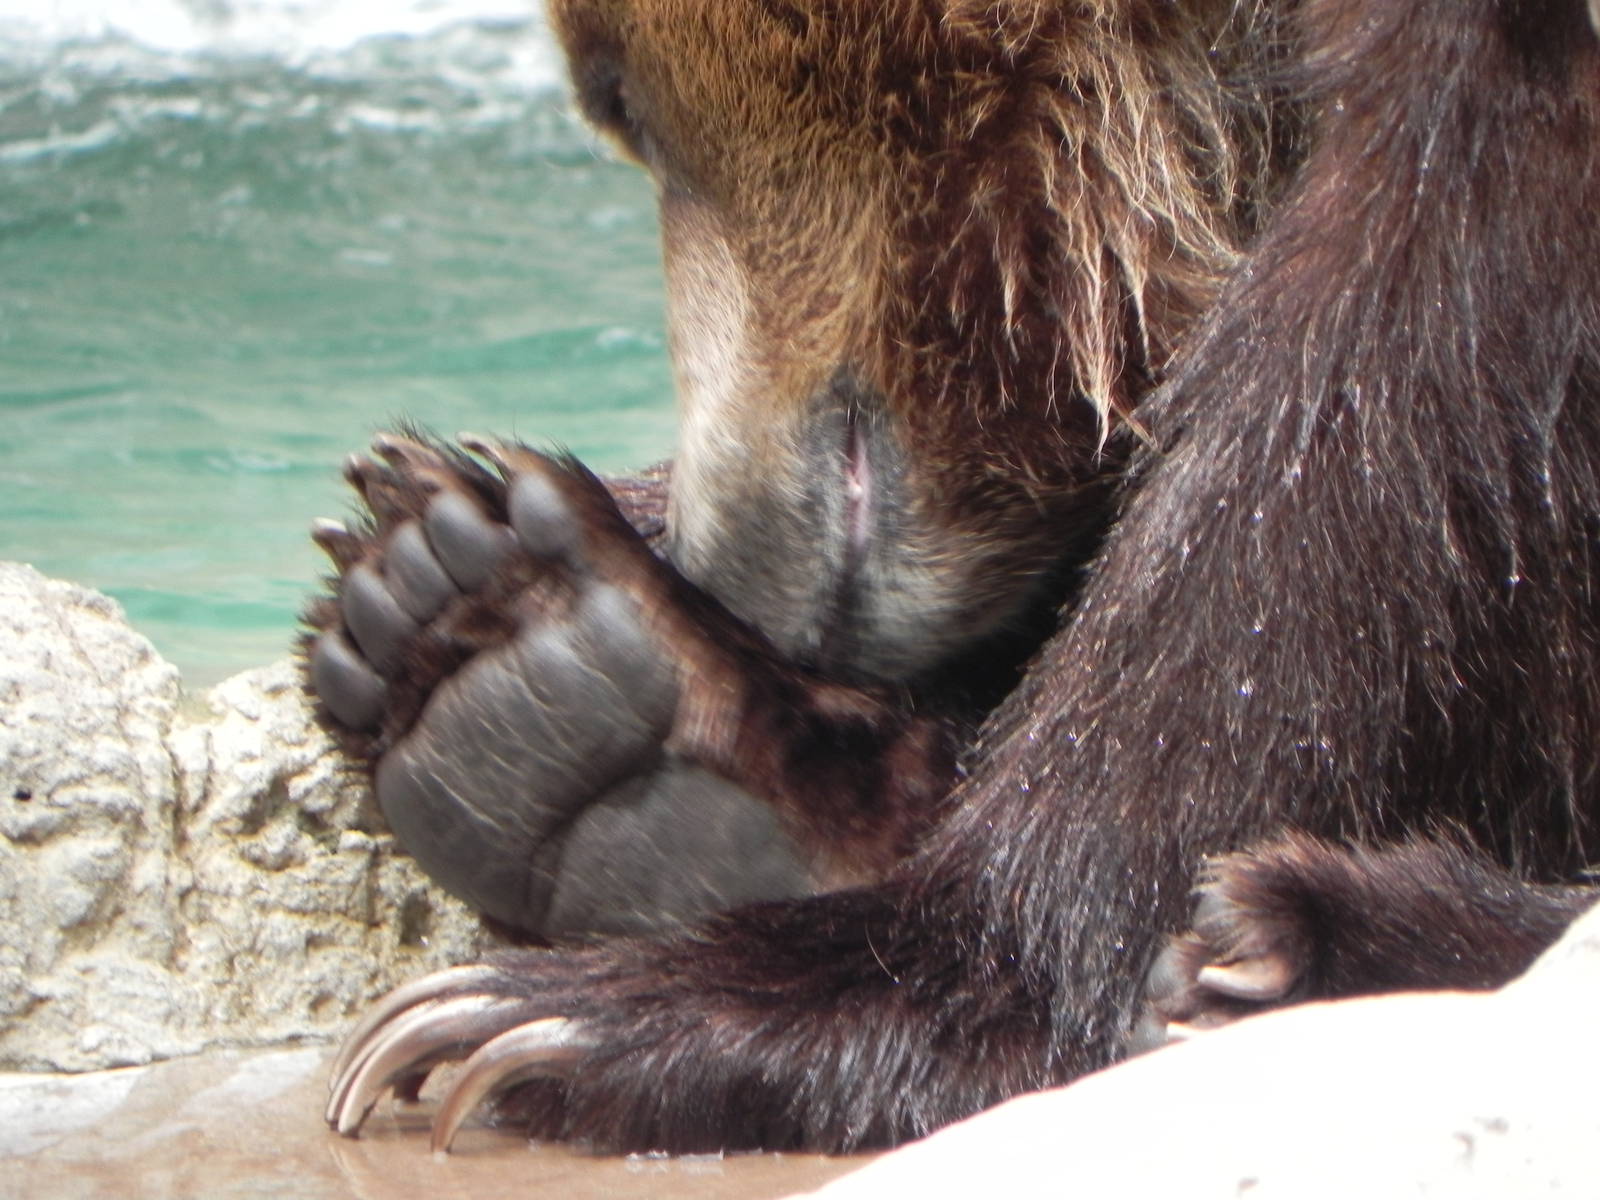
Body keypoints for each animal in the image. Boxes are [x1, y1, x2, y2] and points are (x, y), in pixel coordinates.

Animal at [304, 0, 1600, 1156]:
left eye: (620, 96)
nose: (727, 557)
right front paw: (438, 592)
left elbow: (1378, 353)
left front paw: (677, 1005)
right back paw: (533, 675)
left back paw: (1297, 944)